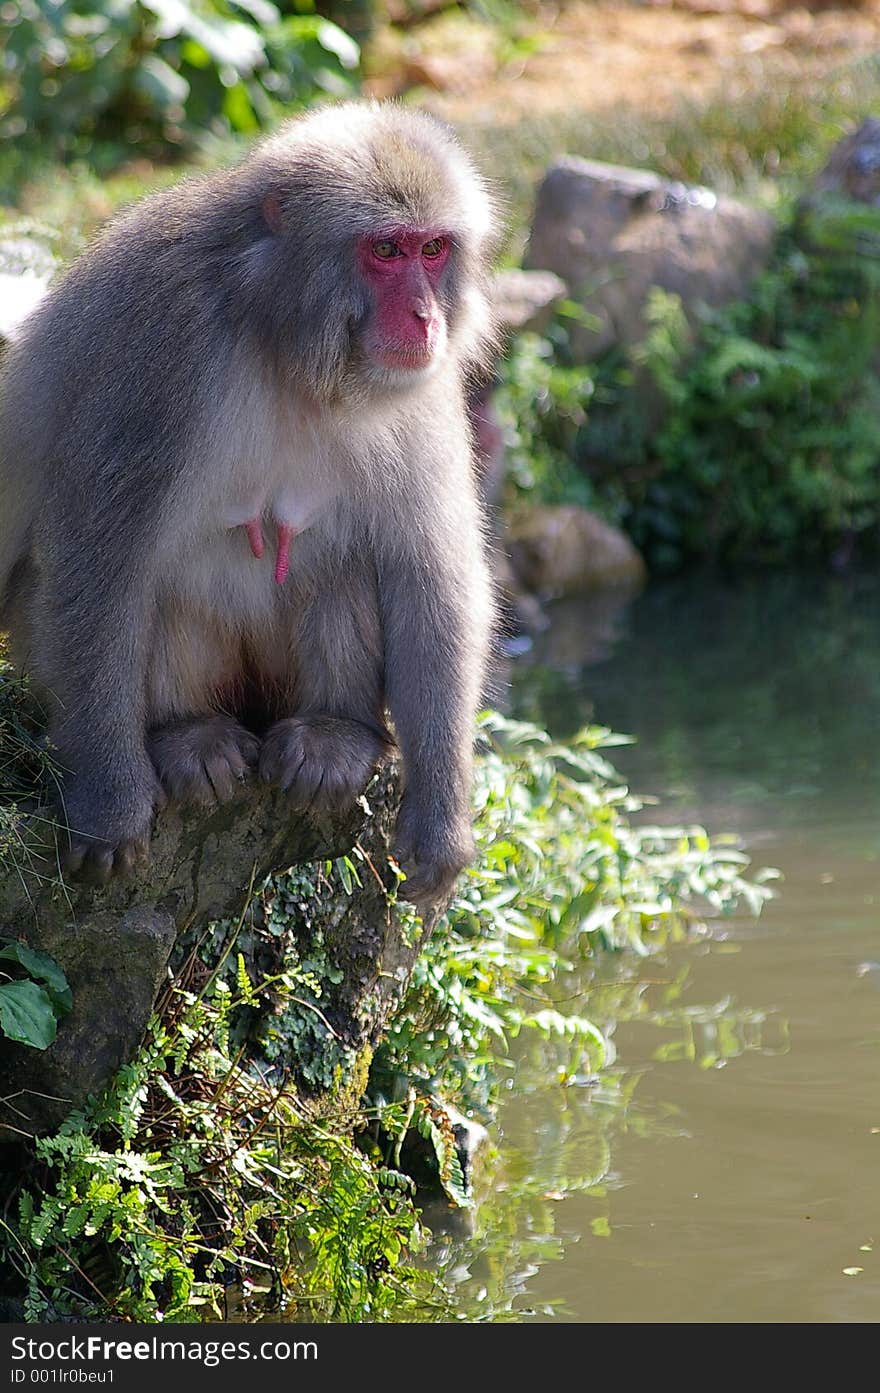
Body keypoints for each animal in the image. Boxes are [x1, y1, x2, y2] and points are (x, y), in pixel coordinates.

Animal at [0, 100, 495, 902]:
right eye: (386, 250)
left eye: (433, 250)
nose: (425, 319)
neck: (287, 346)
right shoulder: (163, 350)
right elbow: (99, 558)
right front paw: (108, 803)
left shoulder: (420, 387)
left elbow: (428, 568)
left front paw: (440, 825)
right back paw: (182, 736)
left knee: (350, 572)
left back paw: (335, 735)